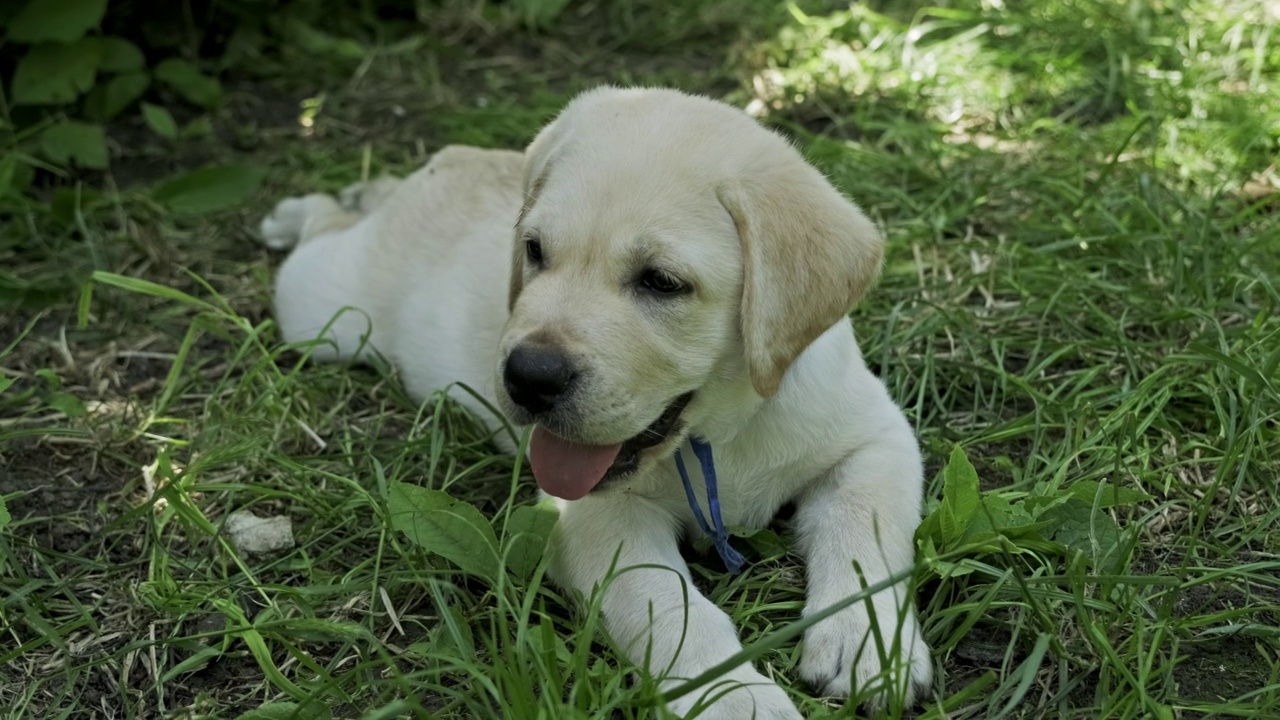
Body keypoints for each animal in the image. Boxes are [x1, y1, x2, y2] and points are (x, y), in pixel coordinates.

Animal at [259, 87, 936, 712]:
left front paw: (867, 643)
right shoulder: (591, 519)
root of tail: (452, 158)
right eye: (533, 250)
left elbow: (866, 533)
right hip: (322, 312)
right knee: (323, 234)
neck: (717, 435)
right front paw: (737, 699)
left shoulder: (876, 439)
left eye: (662, 282)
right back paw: (301, 209)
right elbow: (670, 609)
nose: (527, 377)